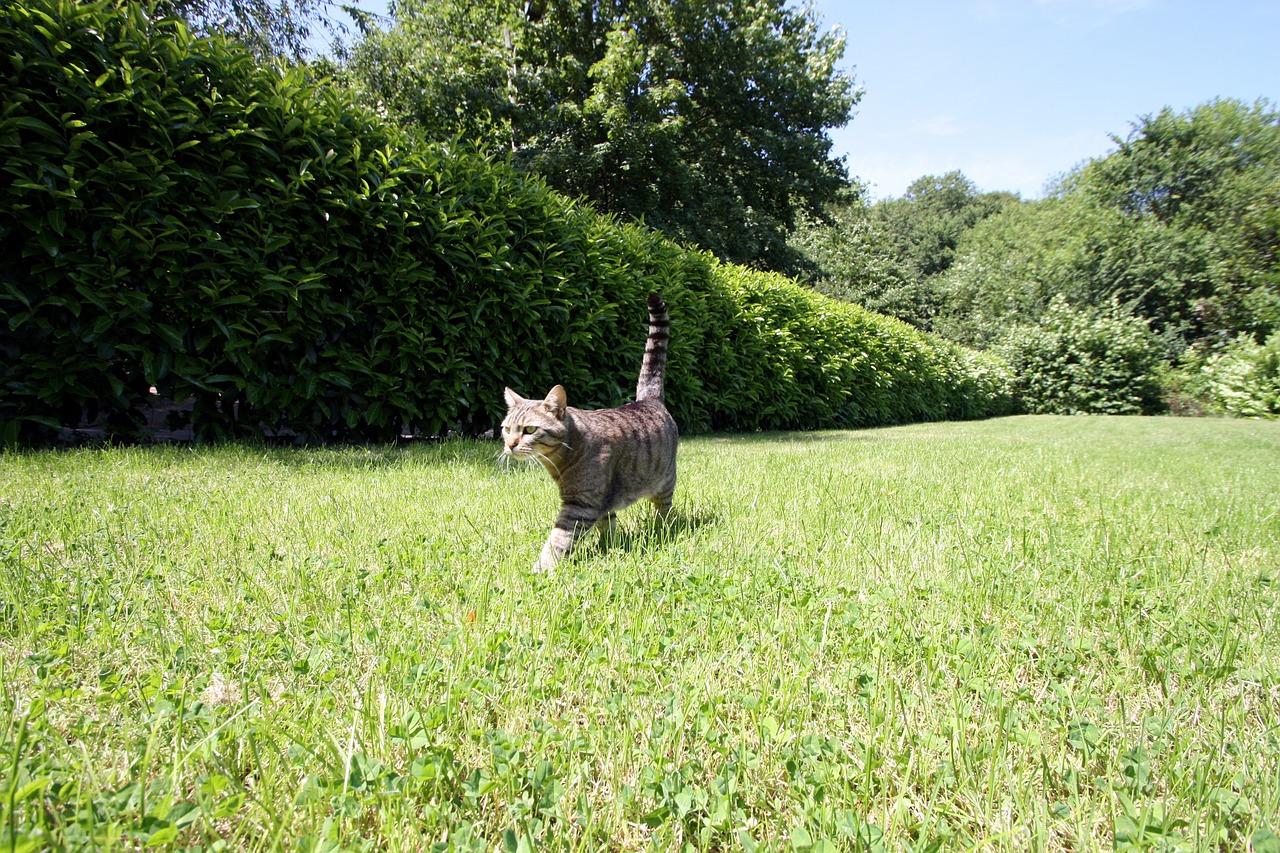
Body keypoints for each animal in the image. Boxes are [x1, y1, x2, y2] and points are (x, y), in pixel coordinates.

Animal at [501, 295, 680, 568]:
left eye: (530, 429)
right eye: (506, 429)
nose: (510, 444)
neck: (565, 456)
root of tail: (648, 399)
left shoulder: (580, 505)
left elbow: (558, 540)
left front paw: (542, 568)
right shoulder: (599, 501)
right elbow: (607, 525)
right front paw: (610, 548)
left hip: (664, 482)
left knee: (665, 511)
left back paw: (663, 529)